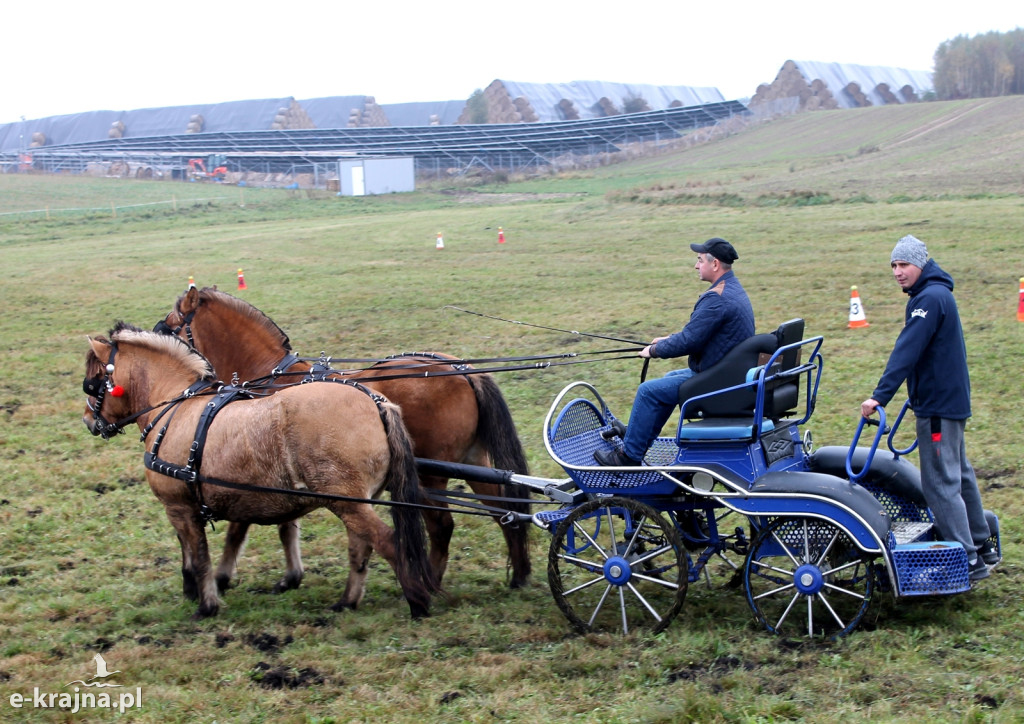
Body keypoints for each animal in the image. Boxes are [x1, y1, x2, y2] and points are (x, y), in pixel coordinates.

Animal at [82, 323, 436, 618]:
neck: (175, 411)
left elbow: (199, 556)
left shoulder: (179, 507)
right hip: (356, 502)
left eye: (91, 384)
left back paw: (418, 601)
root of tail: (375, 401)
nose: (88, 422)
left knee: (388, 542)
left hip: (346, 500)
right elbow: (206, 547)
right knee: (360, 548)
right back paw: (347, 601)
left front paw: (207, 604)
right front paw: (196, 589)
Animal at [155, 286, 532, 593]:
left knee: (441, 526)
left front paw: (221, 576)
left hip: (430, 474)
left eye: (171, 327)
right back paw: (518, 575)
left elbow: (241, 526)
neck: (273, 378)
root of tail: (462, 370)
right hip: (471, 461)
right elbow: (281, 524)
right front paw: (288, 575)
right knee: (505, 510)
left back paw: (431, 581)